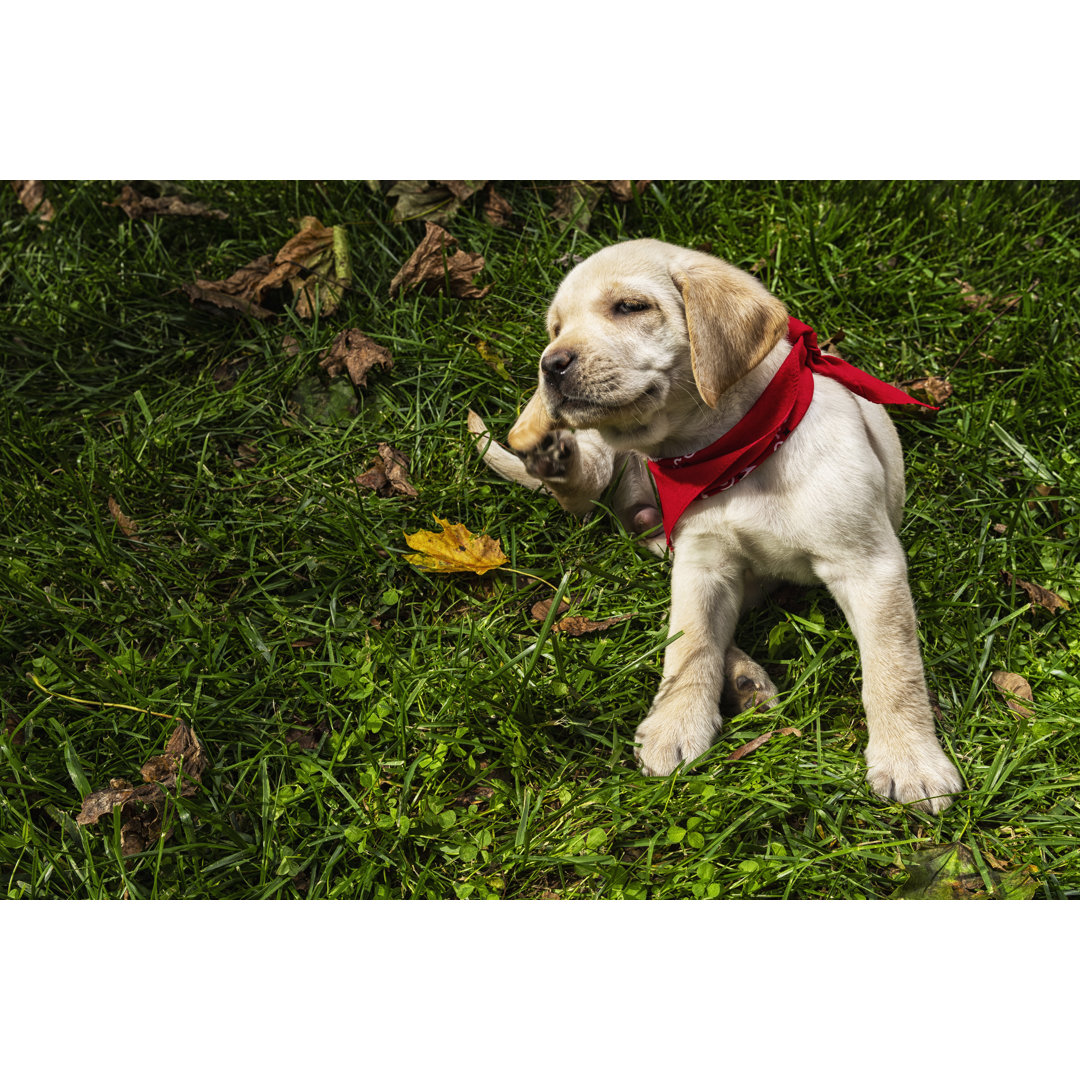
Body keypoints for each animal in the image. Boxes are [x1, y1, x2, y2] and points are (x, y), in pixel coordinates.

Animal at [473, 236, 963, 812]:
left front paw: (910, 760)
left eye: (630, 307)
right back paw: (554, 456)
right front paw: (674, 726)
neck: (733, 453)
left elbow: (894, 667)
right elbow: (689, 645)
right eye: (555, 328)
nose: (550, 365)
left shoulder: (869, 565)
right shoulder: (704, 563)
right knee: (581, 493)